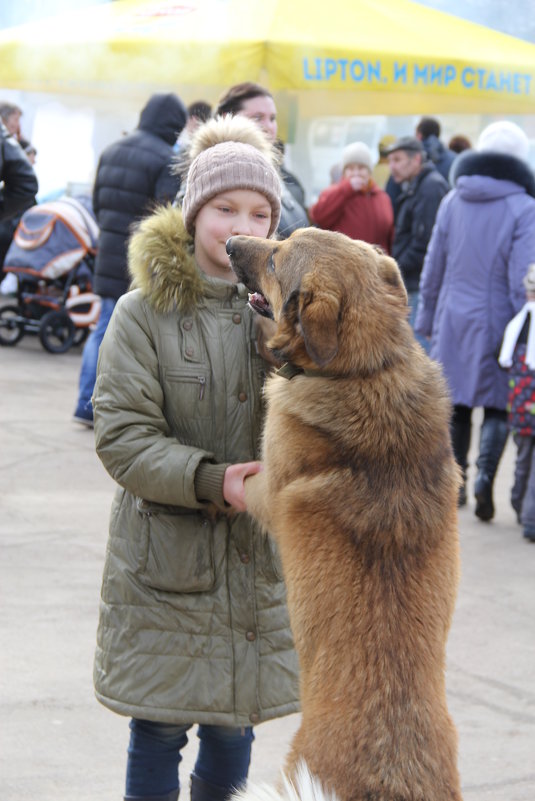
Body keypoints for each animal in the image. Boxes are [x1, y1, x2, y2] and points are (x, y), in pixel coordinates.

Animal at [228, 228, 462, 800]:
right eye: (283, 237)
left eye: (276, 257)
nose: (228, 244)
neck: (367, 368)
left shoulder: (266, 487)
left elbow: (242, 480)